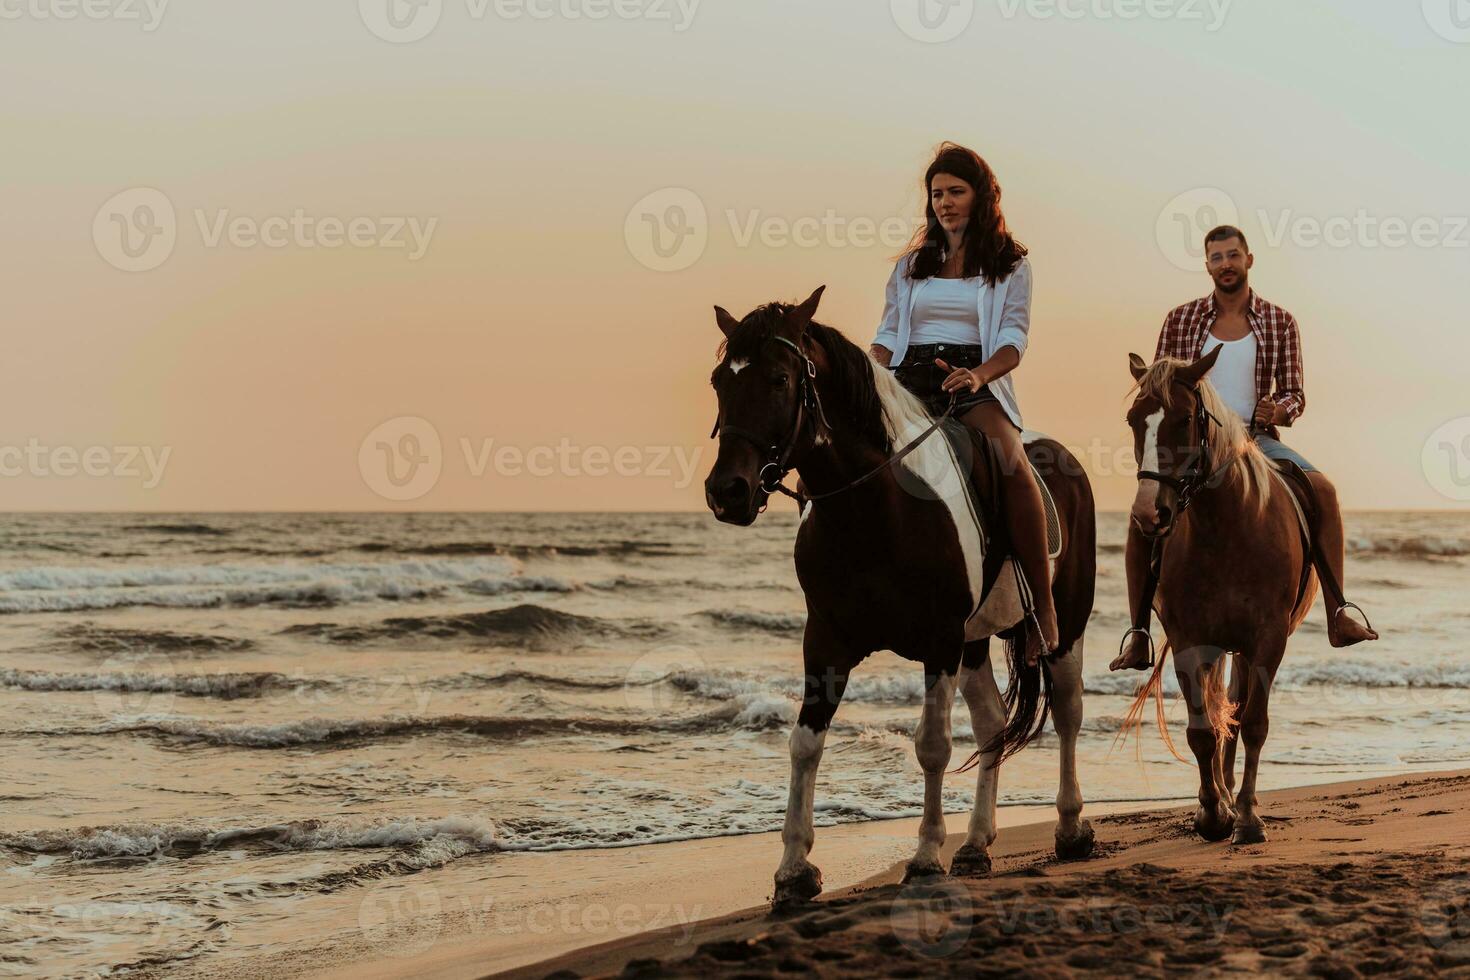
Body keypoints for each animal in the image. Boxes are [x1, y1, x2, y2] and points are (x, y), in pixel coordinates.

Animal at [705, 287, 1099, 910]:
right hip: (974, 642)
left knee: (1067, 714)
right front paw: (793, 871)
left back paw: (1069, 828)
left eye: (780, 378)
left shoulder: (938, 639)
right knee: (991, 723)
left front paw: (924, 858)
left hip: (1064, 624)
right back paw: (976, 844)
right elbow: (804, 744)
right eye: (720, 380)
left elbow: (932, 745)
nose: (728, 492)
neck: (876, 506)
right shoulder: (827, 640)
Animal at [1117, 351, 1317, 846]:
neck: (1224, 530)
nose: (1149, 514)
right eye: (1133, 420)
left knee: (1239, 709)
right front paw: (1212, 814)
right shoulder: (1190, 640)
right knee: (1223, 708)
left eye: (1186, 419)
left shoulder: (1268, 640)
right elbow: (1202, 730)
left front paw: (1246, 818)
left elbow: (1254, 723)